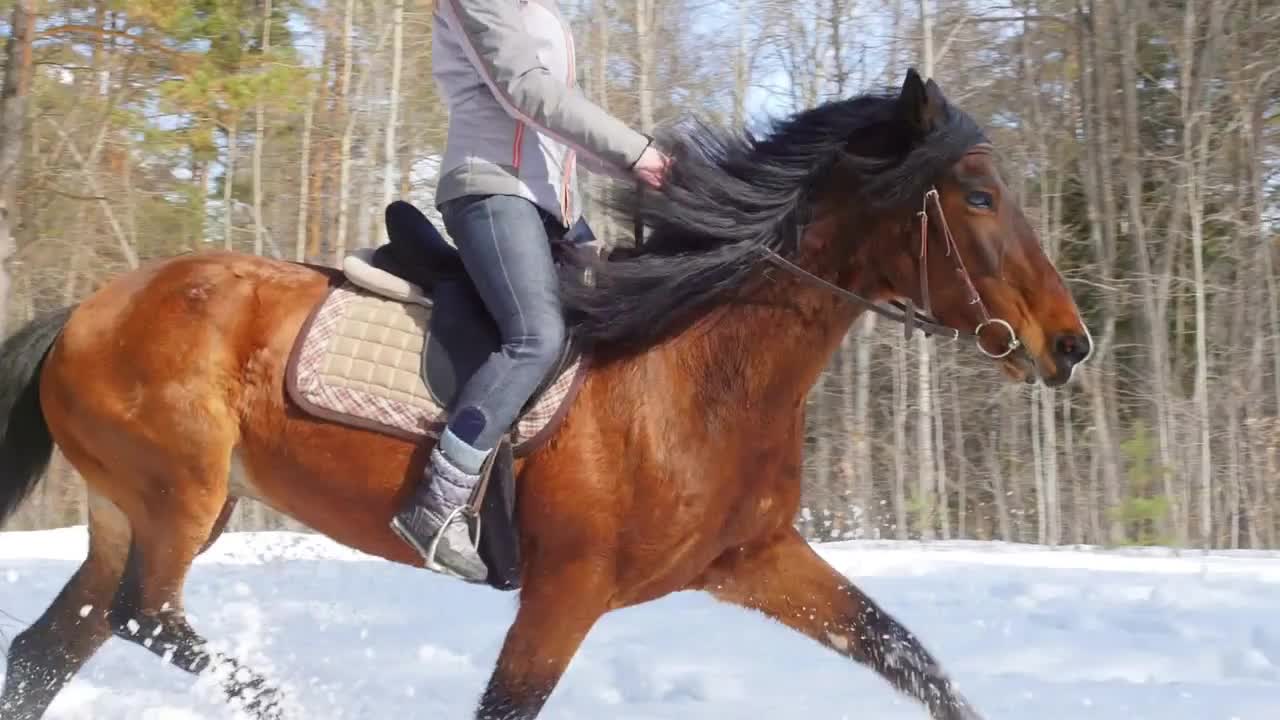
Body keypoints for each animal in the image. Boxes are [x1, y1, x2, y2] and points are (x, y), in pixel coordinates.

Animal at [0, 68, 1090, 717]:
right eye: (980, 197)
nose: (1069, 347)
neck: (688, 372)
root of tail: (86, 309)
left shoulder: (754, 561)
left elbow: (909, 657)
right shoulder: (566, 594)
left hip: (132, 511)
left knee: (49, 651)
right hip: (177, 496)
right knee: (149, 619)